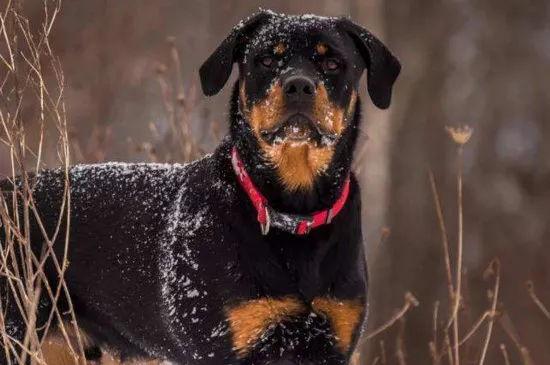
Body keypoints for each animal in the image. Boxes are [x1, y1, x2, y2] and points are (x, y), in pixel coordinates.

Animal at [0, 8, 402, 364]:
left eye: (333, 63)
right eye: (266, 60)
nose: (299, 85)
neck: (291, 212)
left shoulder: (331, 339)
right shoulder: (219, 344)